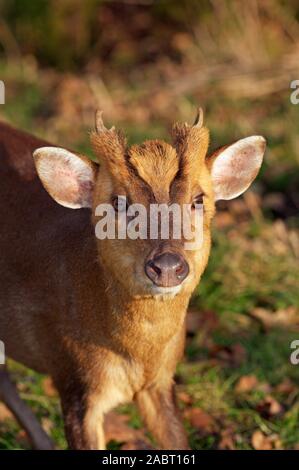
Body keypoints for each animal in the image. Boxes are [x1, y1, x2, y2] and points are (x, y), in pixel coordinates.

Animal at [0, 112, 268, 450]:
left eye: (198, 199)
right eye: (119, 203)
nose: (167, 265)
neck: (137, 356)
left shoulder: (161, 382)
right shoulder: (73, 379)